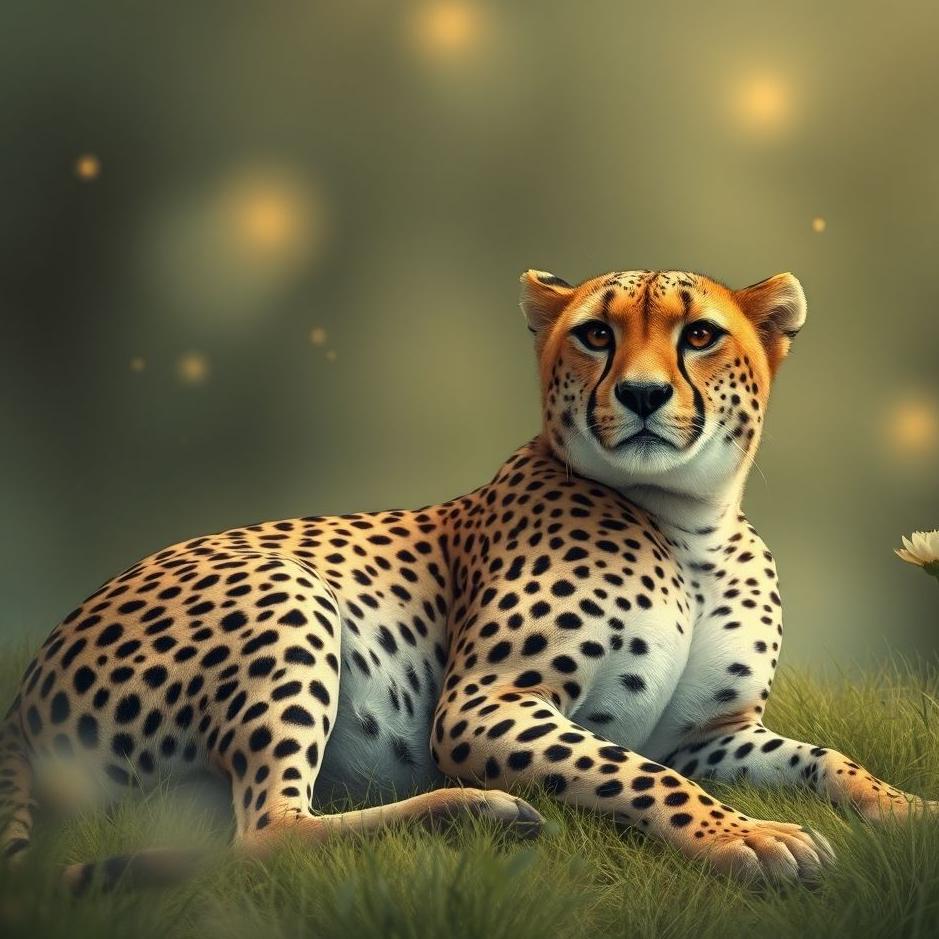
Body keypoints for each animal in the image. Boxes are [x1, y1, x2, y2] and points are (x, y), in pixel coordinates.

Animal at [3, 267, 935, 891]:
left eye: (698, 334)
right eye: (596, 334)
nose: (638, 394)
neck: (687, 523)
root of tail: (20, 700)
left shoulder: (710, 733)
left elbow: (827, 756)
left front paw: (906, 808)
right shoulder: (485, 704)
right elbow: (641, 775)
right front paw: (746, 837)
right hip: (282, 590)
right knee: (265, 833)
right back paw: (472, 809)